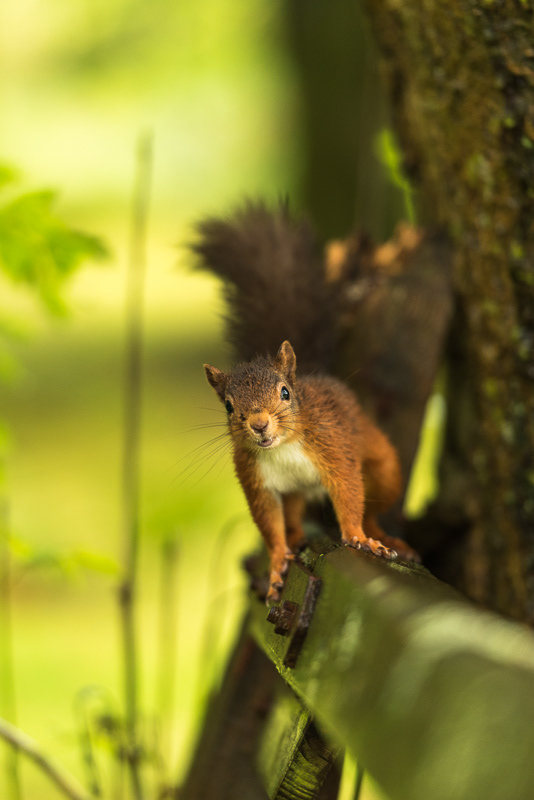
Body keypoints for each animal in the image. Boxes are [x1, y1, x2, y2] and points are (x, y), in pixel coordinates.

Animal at [195, 201, 419, 604]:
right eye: (228, 406)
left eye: (285, 393)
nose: (259, 424)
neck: (282, 446)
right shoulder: (255, 479)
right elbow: (269, 523)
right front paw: (276, 563)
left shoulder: (333, 449)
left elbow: (349, 492)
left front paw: (357, 537)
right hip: (295, 491)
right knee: (294, 512)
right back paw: (298, 536)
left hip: (383, 467)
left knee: (373, 504)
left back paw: (381, 536)